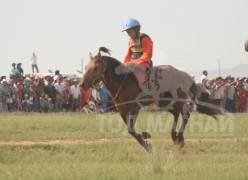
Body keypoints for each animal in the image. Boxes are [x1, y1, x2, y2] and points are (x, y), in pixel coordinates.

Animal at [79, 46, 221, 152]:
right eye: (85, 67)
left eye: (95, 68)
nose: (81, 84)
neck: (122, 81)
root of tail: (186, 75)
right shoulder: (122, 111)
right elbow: (131, 130)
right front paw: (145, 138)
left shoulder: (134, 108)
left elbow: (131, 129)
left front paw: (147, 144)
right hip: (164, 102)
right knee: (176, 114)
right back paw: (174, 136)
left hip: (179, 100)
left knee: (185, 115)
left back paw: (180, 138)